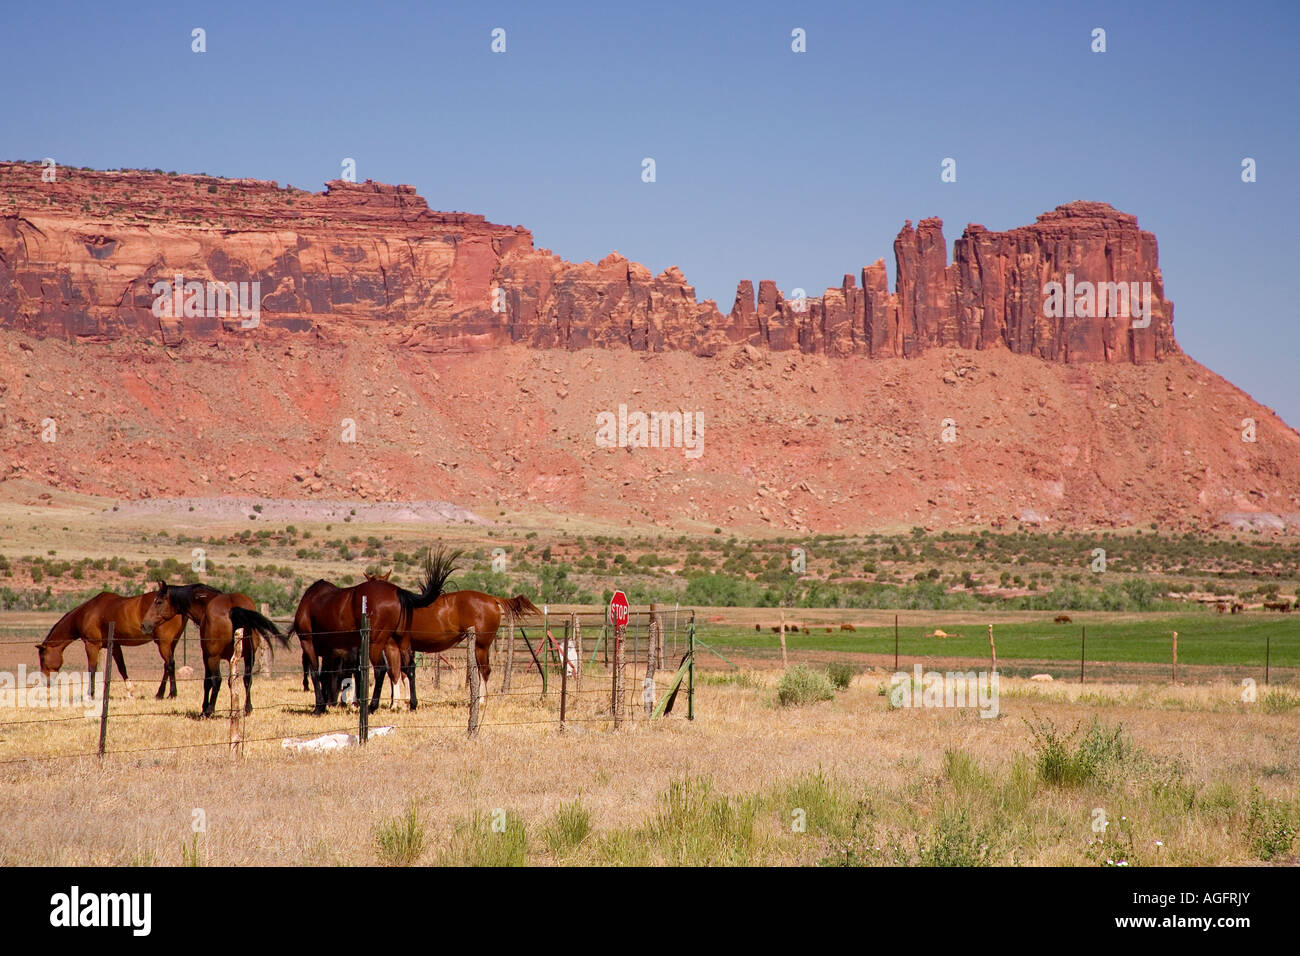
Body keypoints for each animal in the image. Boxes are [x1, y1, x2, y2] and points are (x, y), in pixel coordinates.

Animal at [37, 587, 188, 697]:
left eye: (43, 658)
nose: (46, 682)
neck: (87, 613)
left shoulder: (92, 645)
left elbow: (92, 669)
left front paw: (90, 694)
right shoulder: (115, 645)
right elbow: (122, 668)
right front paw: (130, 692)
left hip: (163, 643)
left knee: (170, 664)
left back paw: (168, 694)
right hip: (171, 643)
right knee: (167, 666)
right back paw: (163, 694)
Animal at [139, 582, 287, 717]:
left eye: (158, 601)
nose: (144, 625)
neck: (205, 602)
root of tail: (233, 608)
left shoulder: (207, 656)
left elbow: (208, 682)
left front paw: (205, 708)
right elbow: (232, 681)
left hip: (213, 657)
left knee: (217, 680)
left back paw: (210, 710)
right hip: (250, 656)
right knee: (247, 679)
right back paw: (247, 709)